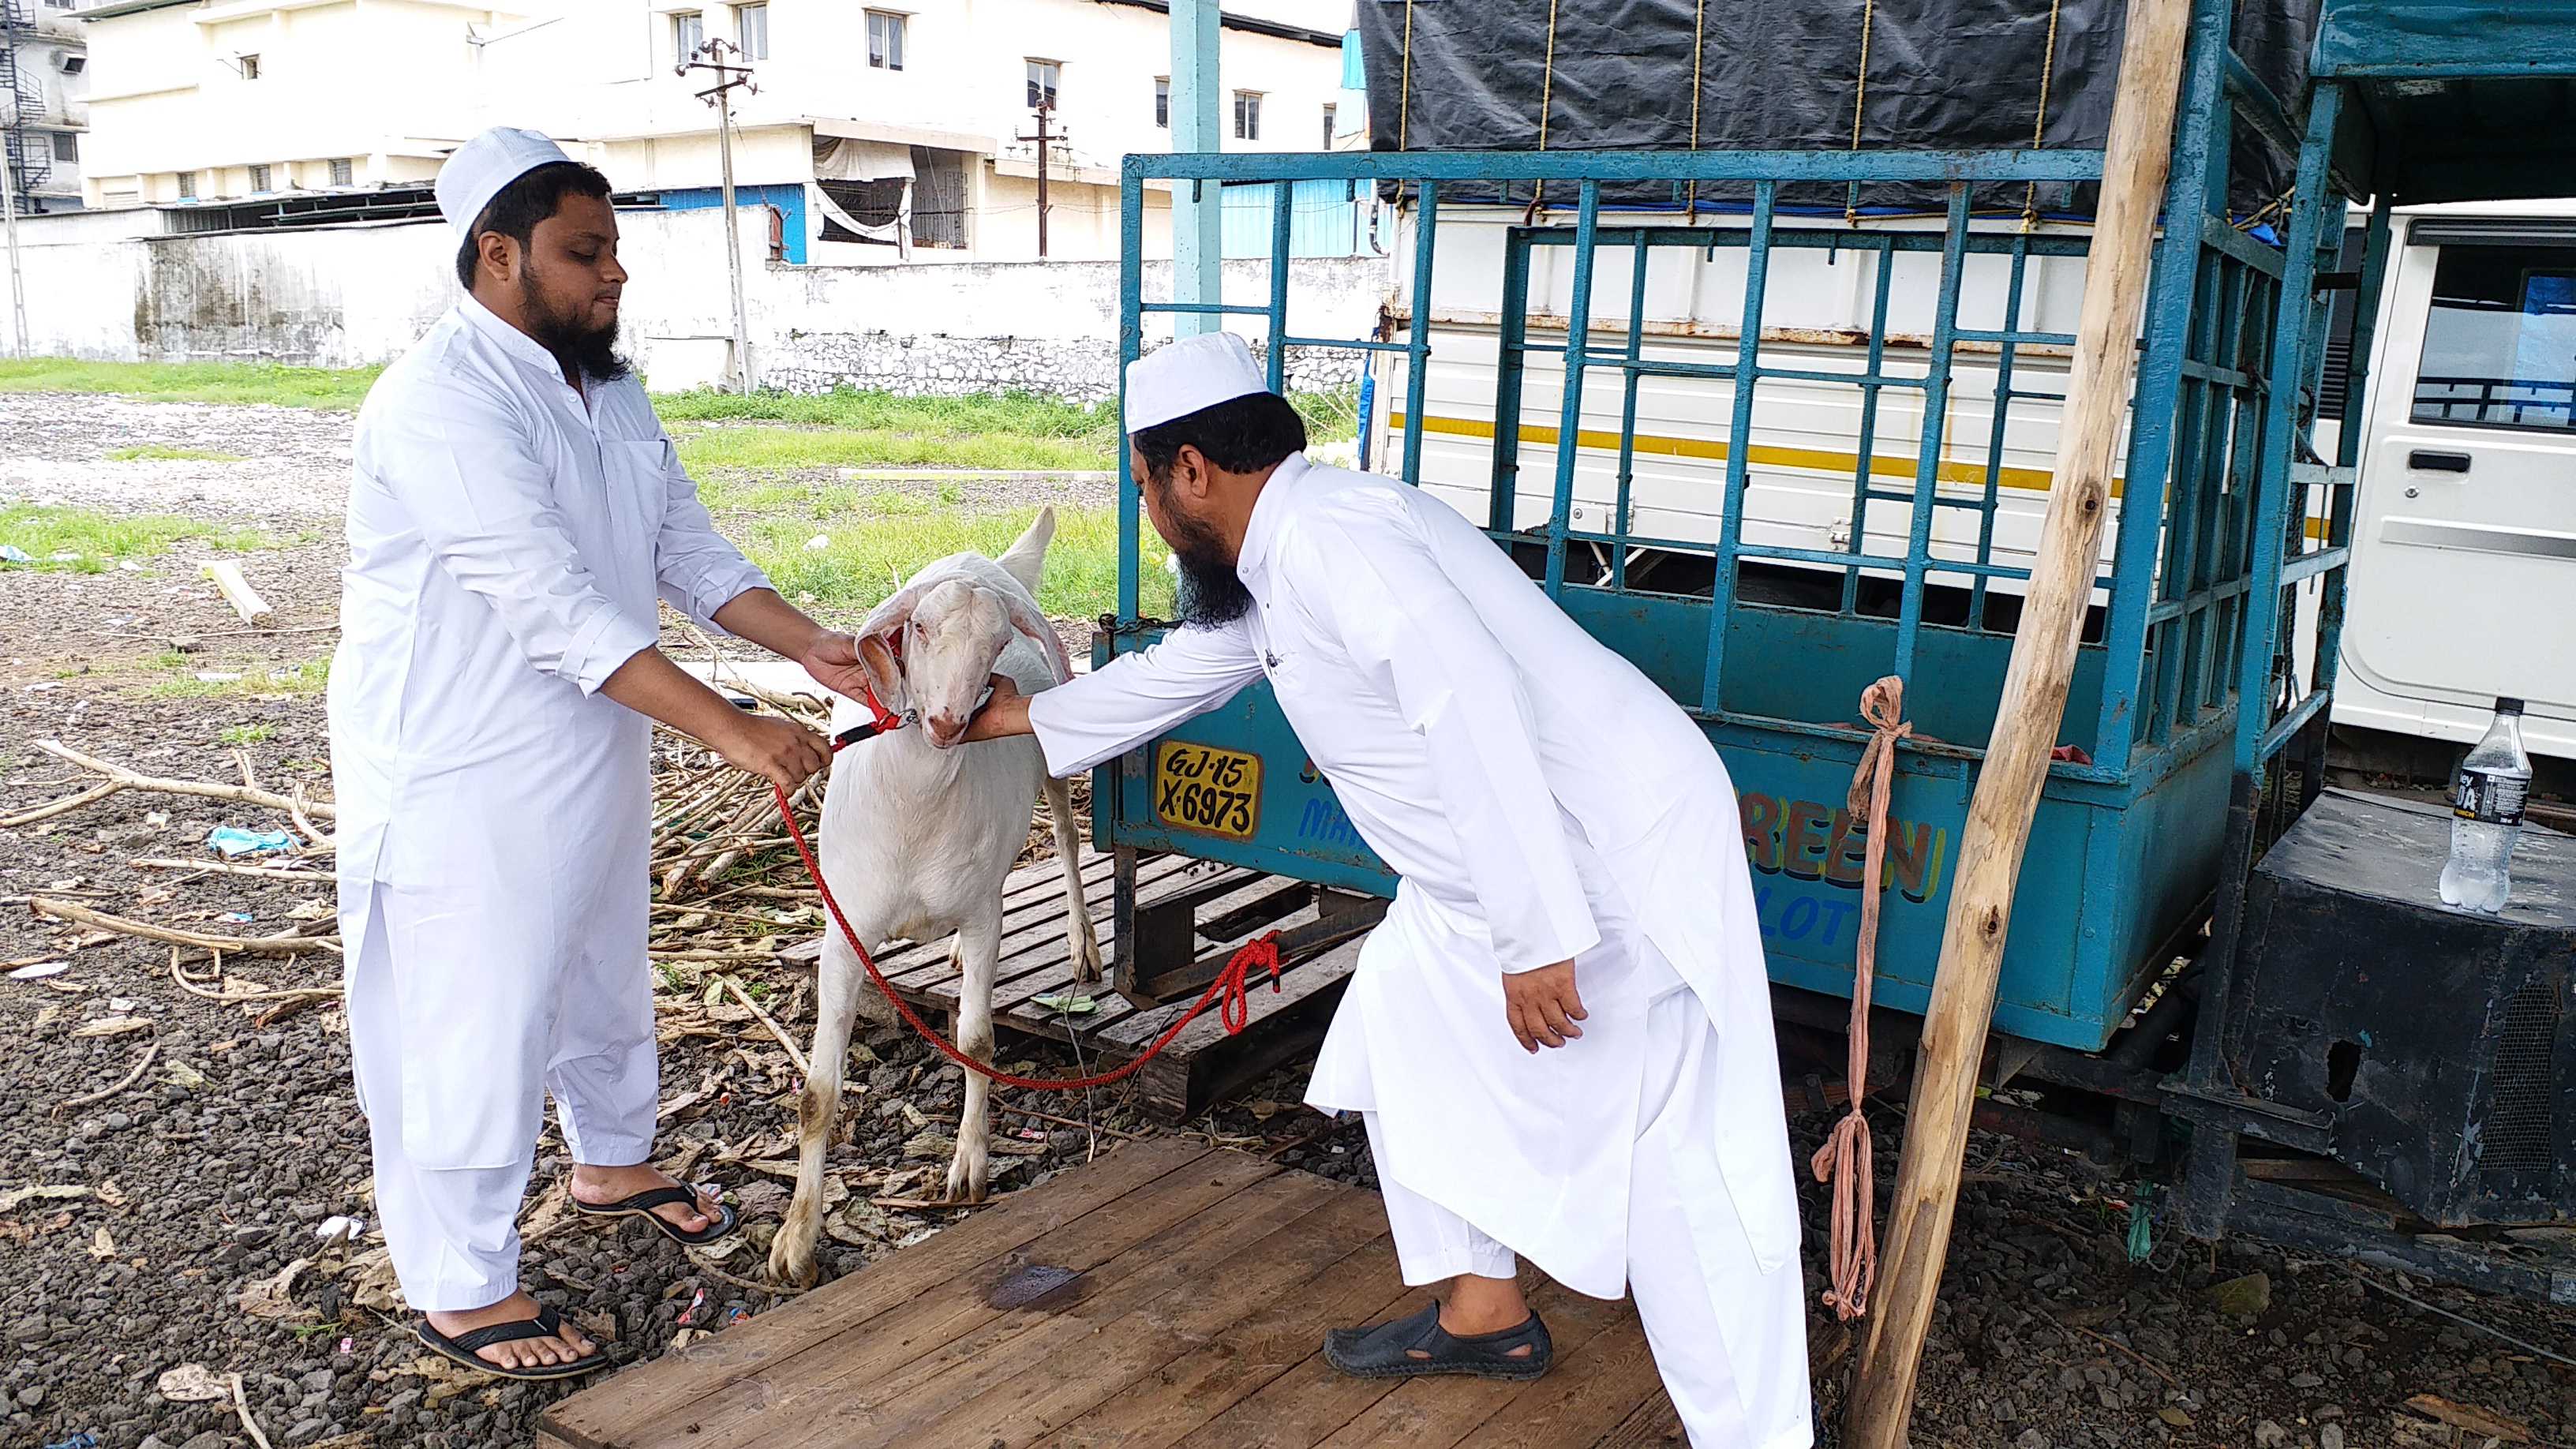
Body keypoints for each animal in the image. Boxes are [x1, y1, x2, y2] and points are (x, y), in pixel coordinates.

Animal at [777, 510, 1113, 1283]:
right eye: (921, 629)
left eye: (997, 642)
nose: (948, 723)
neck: (918, 806)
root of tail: (987, 560)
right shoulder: (845, 932)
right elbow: (817, 1094)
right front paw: (796, 1243)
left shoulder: (987, 912)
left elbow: (978, 1041)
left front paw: (970, 1166)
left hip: (1054, 764)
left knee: (1067, 839)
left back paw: (1082, 942)